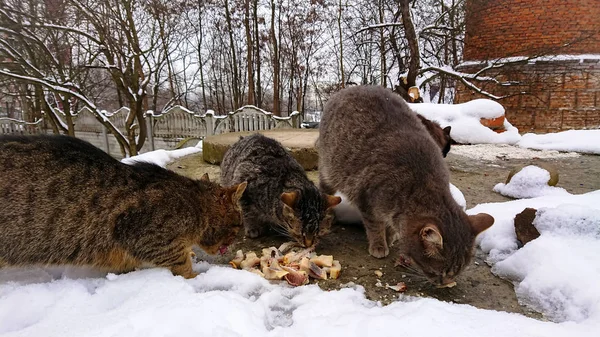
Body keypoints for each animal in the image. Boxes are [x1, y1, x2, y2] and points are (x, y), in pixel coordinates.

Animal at [0, 134, 246, 278]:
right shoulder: (151, 239)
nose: (234, 241)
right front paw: (194, 279)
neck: (195, 205)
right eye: (238, 225)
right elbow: (181, 264)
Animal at [316, 86, 494, 286]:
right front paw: (379, 244)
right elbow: (375, 226)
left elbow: (391, 226)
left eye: (457, 272)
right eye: (439, 272)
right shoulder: (367, 199)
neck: (422, 184)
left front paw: (390, 236)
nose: (444, 284)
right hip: (329, 169)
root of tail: (350, 88)